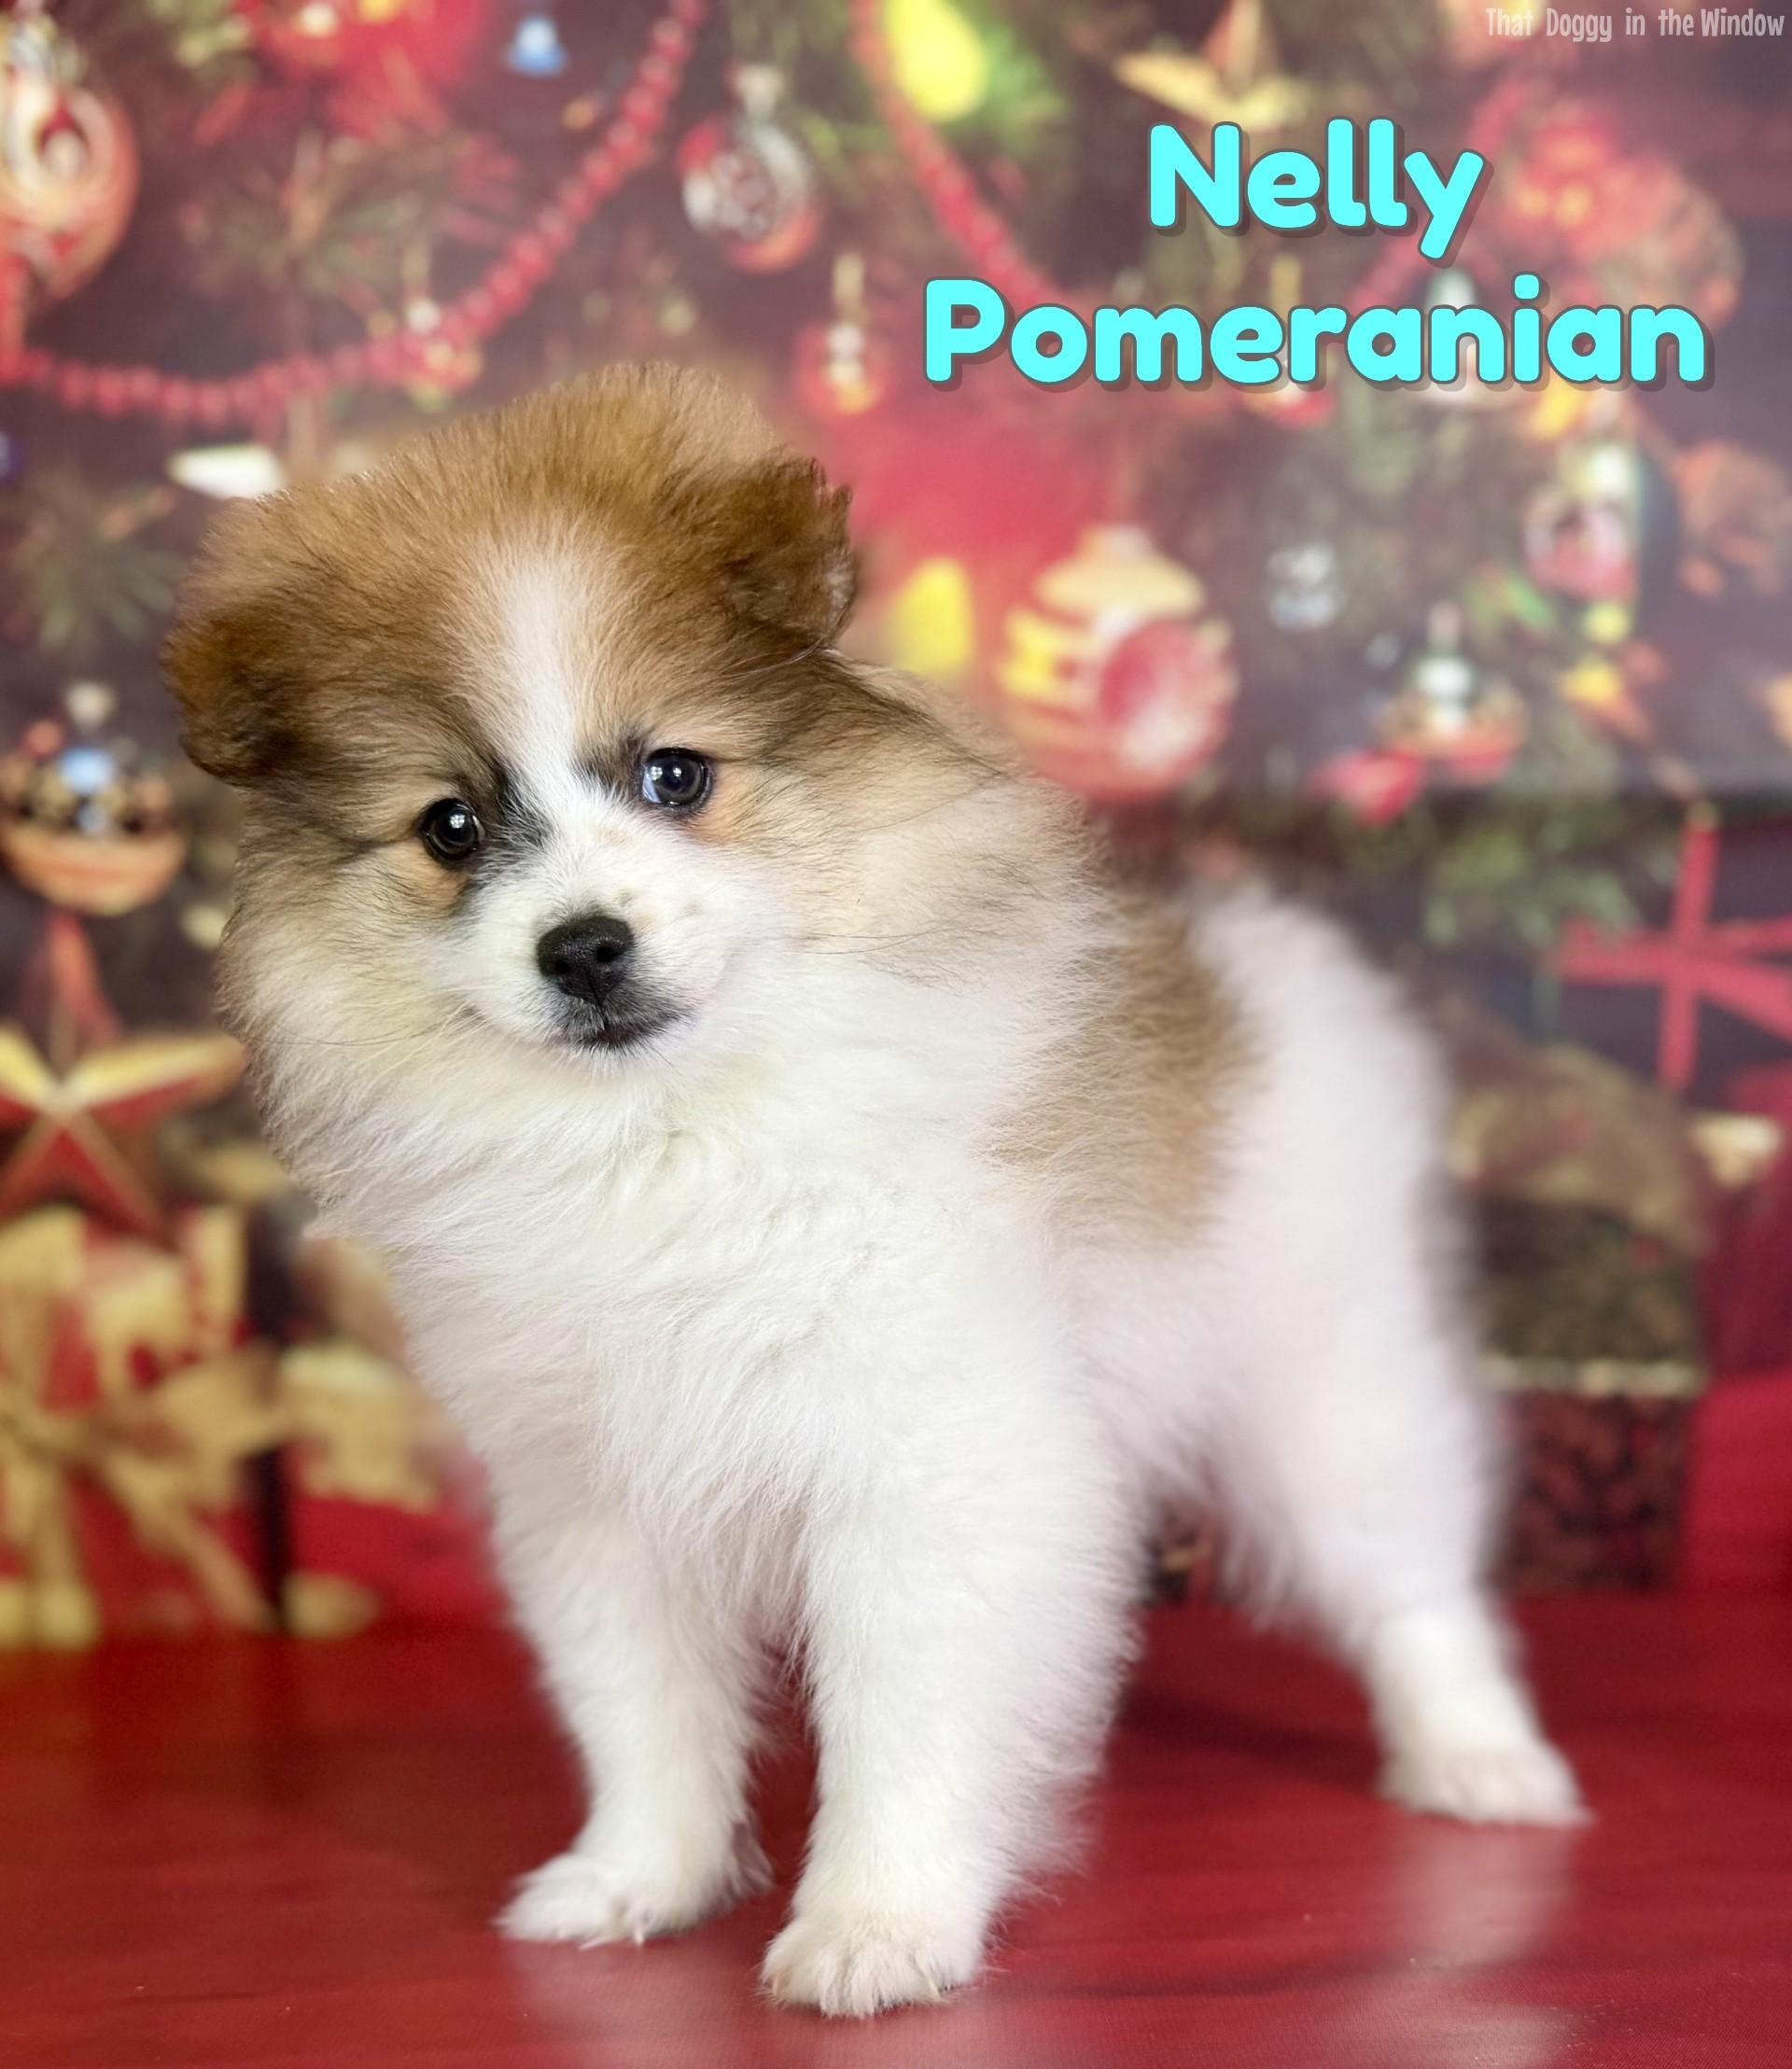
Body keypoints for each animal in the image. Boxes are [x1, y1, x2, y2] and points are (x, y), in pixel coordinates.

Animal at [163, 364, 1582, 2019]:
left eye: (677, 775)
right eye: (449, 827)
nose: (582, 946)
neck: (673, 1132)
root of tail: (1258, 963)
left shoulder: (925, 1461)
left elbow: (902, 1715)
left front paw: (876, 1925)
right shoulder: (595, 1489)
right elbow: (639, 1709)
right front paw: (638, 1878)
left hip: (1325, 1376)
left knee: (1409, 1576)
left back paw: (1482, 1762)